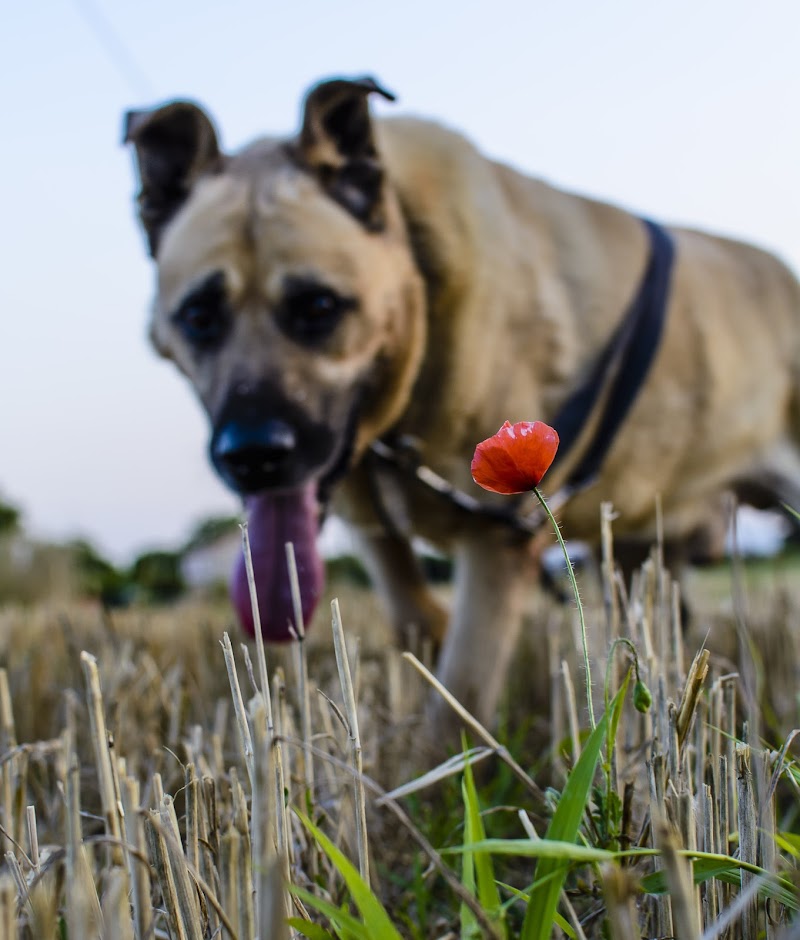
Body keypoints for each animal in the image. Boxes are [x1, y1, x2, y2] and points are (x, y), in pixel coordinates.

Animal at [123, 79, 800, 728]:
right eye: (198, 315)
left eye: (318, 306)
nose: (253, 457)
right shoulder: (371, 528)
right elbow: (413, 616)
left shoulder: (496, 543)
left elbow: (459, 703)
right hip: (639, 542)